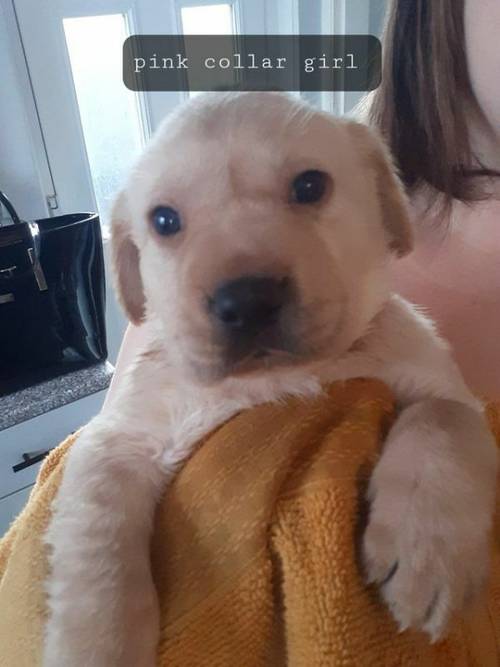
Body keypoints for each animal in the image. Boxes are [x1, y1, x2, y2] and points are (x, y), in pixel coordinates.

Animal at [44, 91, 500, 664]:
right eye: (164, 220)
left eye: (309, 186)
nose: (247, 301)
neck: (274, 375)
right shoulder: (116, 439)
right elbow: (97, 546)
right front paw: (94, 644)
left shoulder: (436, 379)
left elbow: (443, 419)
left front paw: (425, 551)